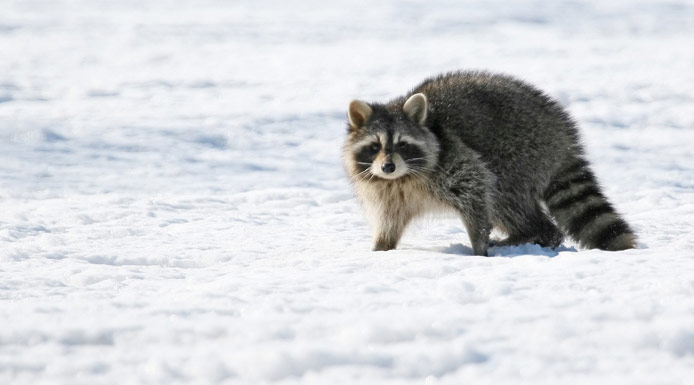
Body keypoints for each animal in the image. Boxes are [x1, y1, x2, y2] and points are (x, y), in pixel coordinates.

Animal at [342, 70, 636, 255]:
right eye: (375, 147)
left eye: (402, 144)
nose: (388, 167)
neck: (401, 178)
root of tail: (564, 135)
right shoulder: (386, 191)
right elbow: (389, 218)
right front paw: (381, 248)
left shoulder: (453, 160)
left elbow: (476, 187)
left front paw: (479, 246)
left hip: (521, 152)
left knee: (502, 196)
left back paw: (533, 234)